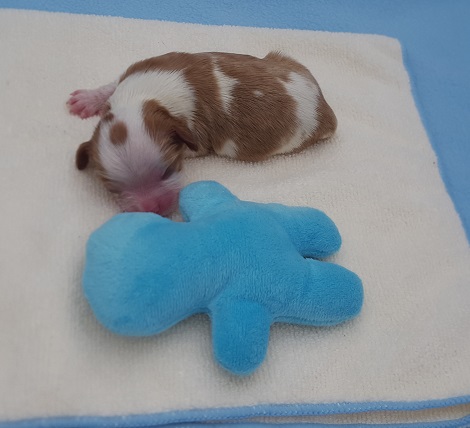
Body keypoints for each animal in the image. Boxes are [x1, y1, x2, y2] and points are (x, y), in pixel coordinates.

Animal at [68, 51, 337, 215]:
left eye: (168, 171)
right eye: (113, 189)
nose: (157, 209)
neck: (143, 98)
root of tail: (325, 109)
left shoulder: (197, 140)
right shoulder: (137, 71)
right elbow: (112, 85)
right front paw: (88, 100)